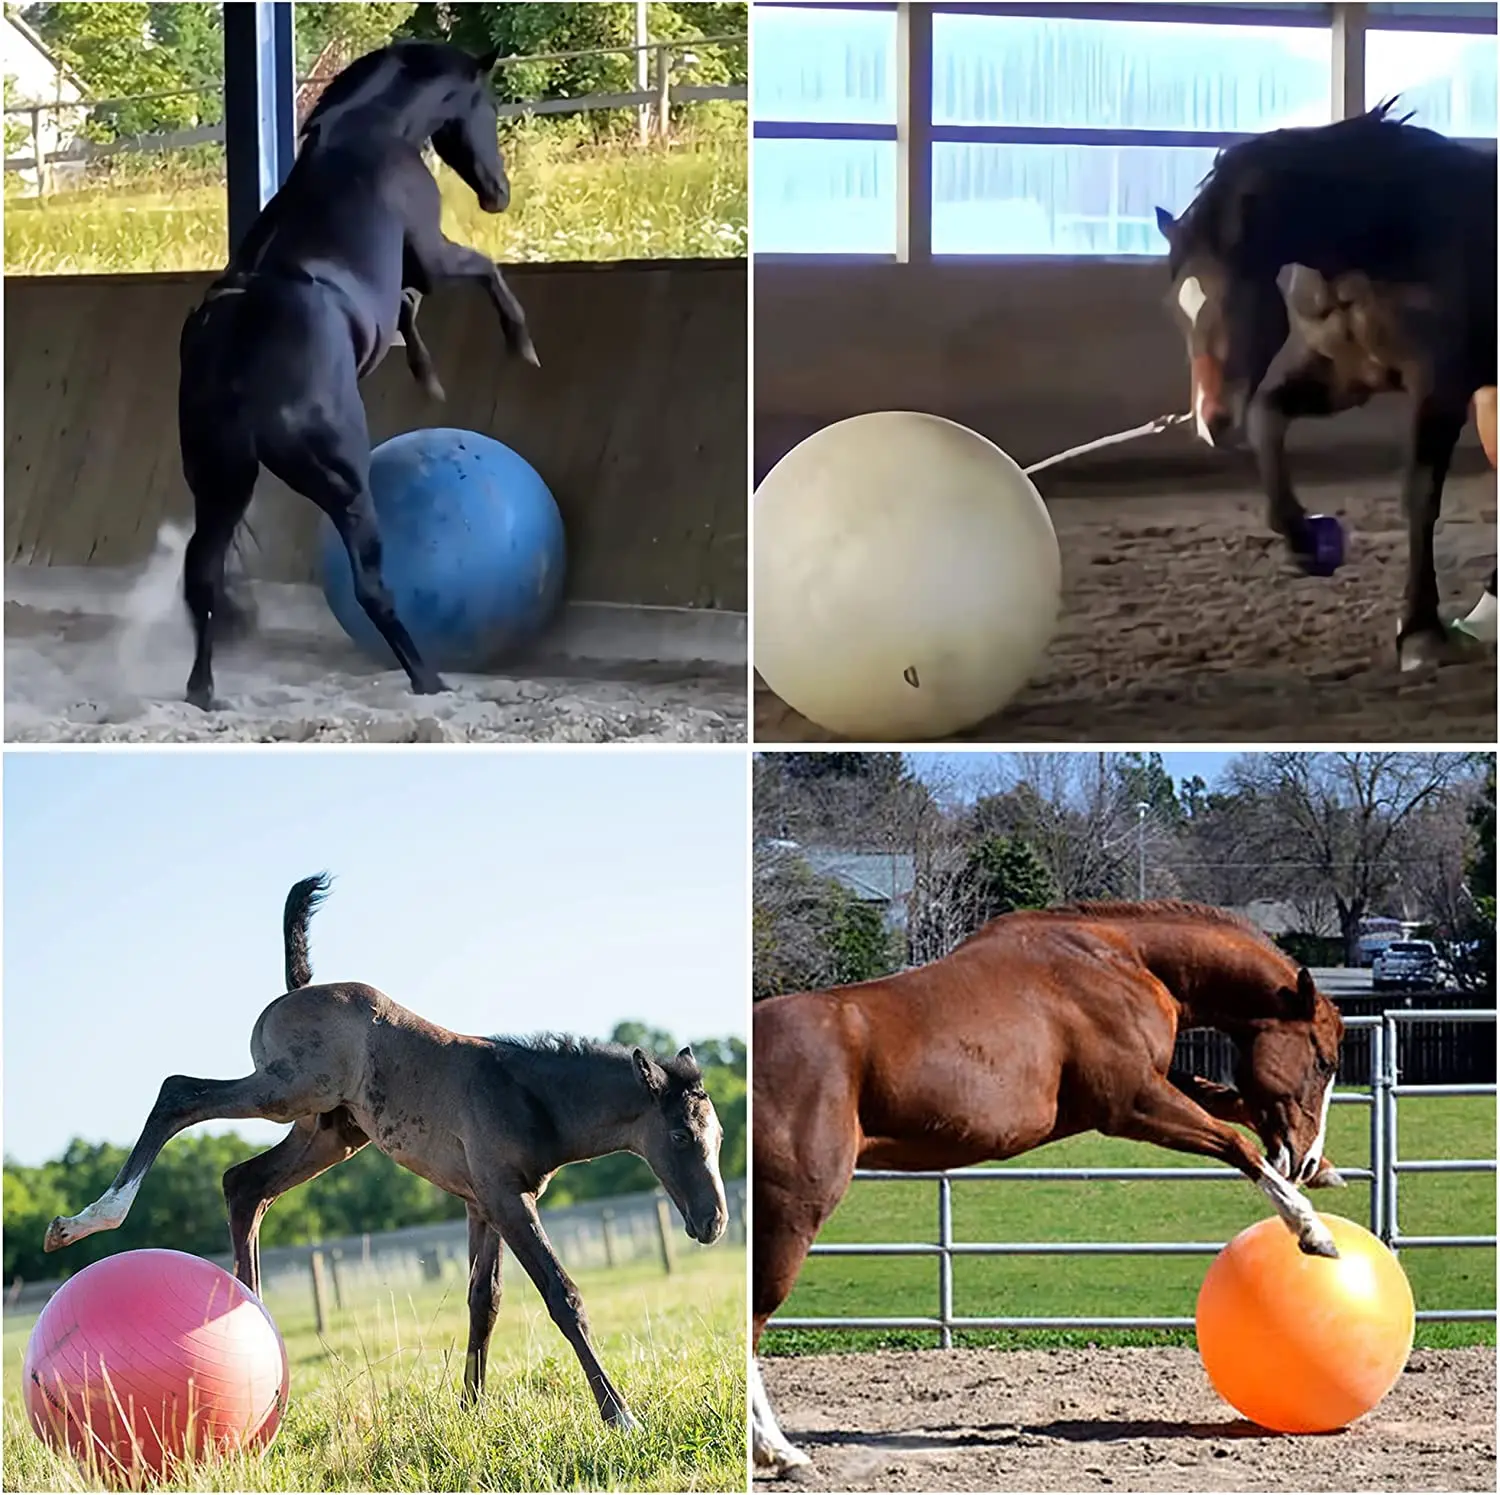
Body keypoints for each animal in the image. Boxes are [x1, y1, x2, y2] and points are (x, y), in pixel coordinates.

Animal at [44, 875, 728, 1428]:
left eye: (719, 1138)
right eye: (678, 1136)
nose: (714, 1222)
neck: (527, 1093)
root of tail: (296, 988)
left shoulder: (484, 1205)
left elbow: (485, 1303)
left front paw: (470, 1409)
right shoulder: (509, 1201)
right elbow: (563, 1297)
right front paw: (620, 1415)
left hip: (326, 1133)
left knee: (244, 1183)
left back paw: (258, 1337)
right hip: (288, 1091)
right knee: (179, 1094)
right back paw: (86, 1222)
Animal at [177, 41, 539, 711]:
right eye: (489, 106)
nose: (498, 193)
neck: (365, 137)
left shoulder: (406, 280)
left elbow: (407, 310)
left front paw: (428, 376)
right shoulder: (431, 255)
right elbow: (482, 271)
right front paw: (520, 346)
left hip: (220, 487)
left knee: (203, 578)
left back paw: (203, 693)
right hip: (346, 487)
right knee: (371, 588)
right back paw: (428, 681)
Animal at [750, 900, 1346, 1476]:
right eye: (1323, 1061)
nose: (1302, 1156)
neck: (1120, 960)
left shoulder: (1152, 1085)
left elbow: (1227, 1100)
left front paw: (1324, 1171)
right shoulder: (1132, 1104)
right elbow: (1235, 1143)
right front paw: (1312, 1231)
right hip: (793, 1217)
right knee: (754, 1325)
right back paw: (781, 1454)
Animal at [1154, 101, 1497, 671]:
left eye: (1235, 300)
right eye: (1177, 308)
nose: (1211, 419)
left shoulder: (1441, 388)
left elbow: (1420, 496)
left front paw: (1419, 631)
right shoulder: (1346, 379)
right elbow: (1267, 416)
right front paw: (1304, 539)